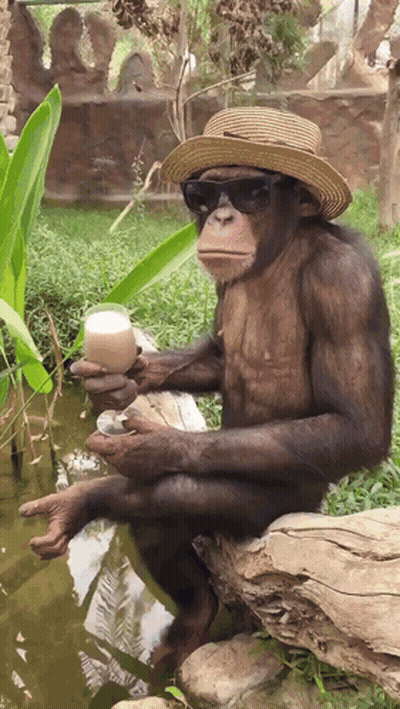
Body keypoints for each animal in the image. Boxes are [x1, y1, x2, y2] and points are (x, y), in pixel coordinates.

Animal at [20, 108, 394, 681]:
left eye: (251, 192)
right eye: (202, 194)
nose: (220, 216)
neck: (278, 252)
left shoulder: (345, 283)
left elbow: (357, 423)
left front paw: (152, 447)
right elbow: (215, 357)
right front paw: (114, 385)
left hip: (284, 505)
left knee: (172, 496)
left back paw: (90, 501)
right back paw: (191, 612)